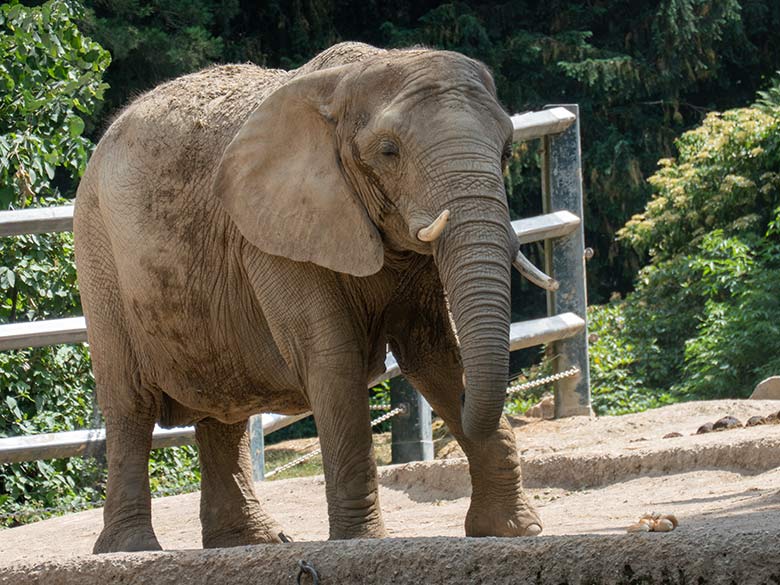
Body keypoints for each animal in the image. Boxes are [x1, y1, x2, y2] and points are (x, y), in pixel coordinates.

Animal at [76, 41, 544, 552]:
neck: (348, 82)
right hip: (99, 255)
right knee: (130, 403)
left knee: (224, 410)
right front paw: (360, 545)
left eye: (507, 151)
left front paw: (512, 532)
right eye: (389, 151)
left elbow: (435, 355)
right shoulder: (274, 235)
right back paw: (132, 550)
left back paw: (251, 542)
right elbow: (332, 357)